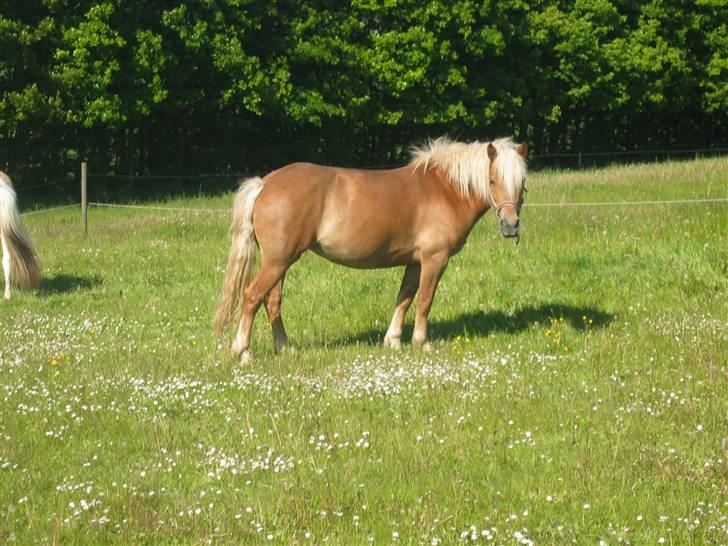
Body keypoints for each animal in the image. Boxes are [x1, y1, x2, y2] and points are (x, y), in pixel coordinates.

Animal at [213, 136, 528, 360]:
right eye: (492, 181)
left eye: (522, 183)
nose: (511, 225)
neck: (444, 190)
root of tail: (264, 183)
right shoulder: (434, 259)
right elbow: (424, 301)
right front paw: (422, 343)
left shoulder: (414, 261)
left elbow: (404, 298)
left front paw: (393, 340)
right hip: (277, 261)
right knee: (252, 297)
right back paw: (243, 352)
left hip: (280, 262)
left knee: (272, 302)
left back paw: (284, 348)